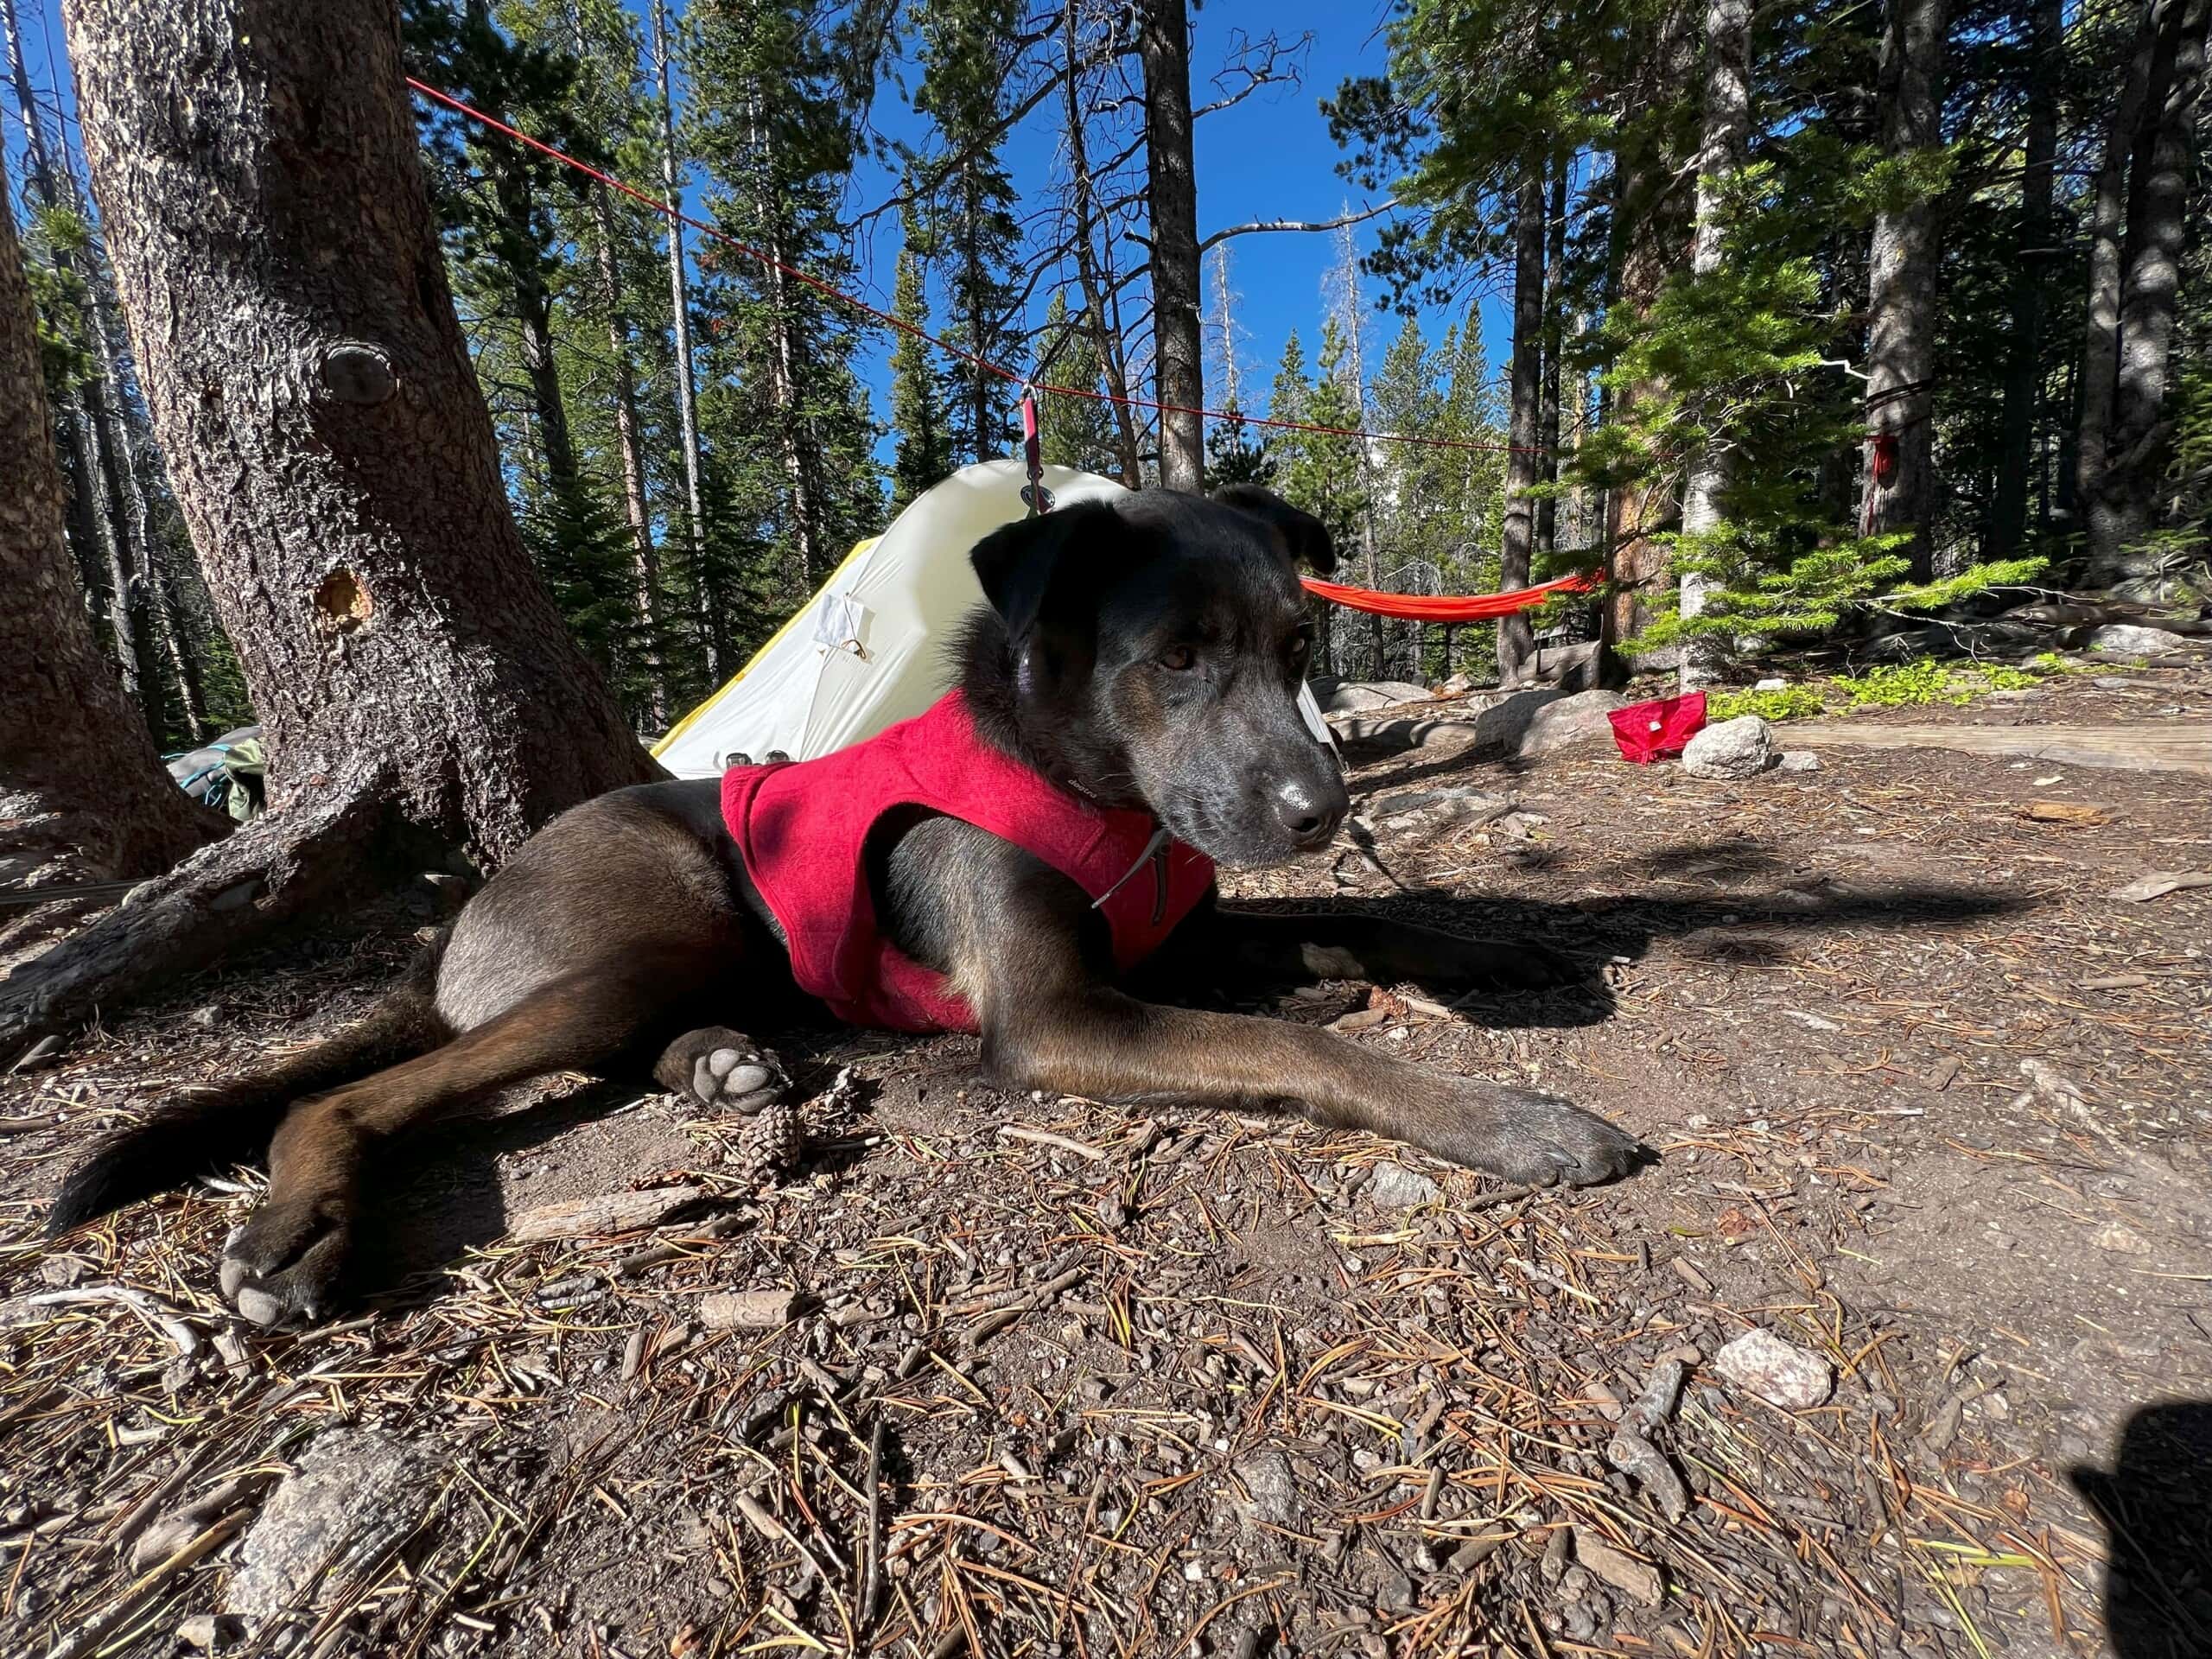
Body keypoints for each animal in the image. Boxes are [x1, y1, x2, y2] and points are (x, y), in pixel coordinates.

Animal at [52, 484, 1645, 1327]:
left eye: (1299, 647)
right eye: (1179, 658)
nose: (1323, 810)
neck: (1093, 792)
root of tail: (459, 929)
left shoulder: (1181, 929)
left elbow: (1376, 921)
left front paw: (1499, 947)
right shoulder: (1057, 1017)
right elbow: (1304, 1047)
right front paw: (1511, 1119)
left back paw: (723, 1064)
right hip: (658, 923)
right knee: (351, 1090)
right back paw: (298, 1226)